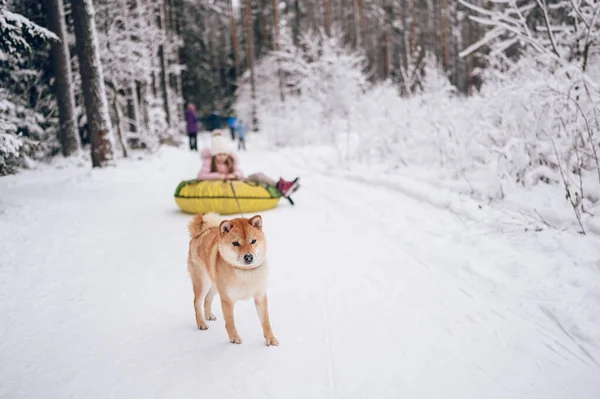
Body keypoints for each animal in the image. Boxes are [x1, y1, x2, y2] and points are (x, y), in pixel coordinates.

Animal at [186, 212, 278, 346]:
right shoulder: (227, 300)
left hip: (215, 286)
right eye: (235, 243)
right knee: (197, 302)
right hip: (203, 282)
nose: (248, 257)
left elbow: (266, 321)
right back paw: (202, 323)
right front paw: (234, 338)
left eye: (253, 241)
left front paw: (270, 339)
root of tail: (200, 233)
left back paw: (209, 315)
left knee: (207, 299)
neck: (245, 273)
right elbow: (230, 321)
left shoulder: (260, 296)